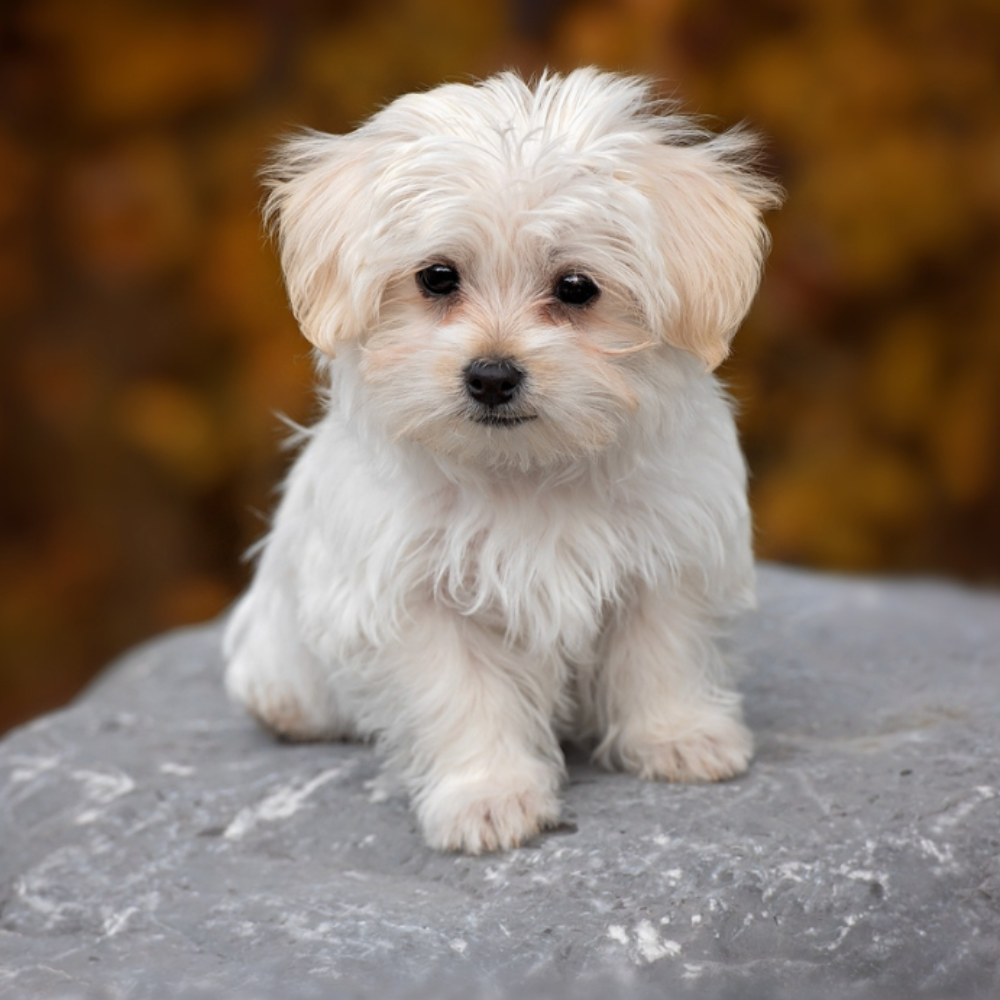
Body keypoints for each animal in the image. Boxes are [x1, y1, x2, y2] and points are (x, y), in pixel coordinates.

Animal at [225, 68, 780, 852]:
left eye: (576, 288)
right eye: (436, 277)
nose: (491, 375)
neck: (525, 471)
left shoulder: (667, 550)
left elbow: (660, 651)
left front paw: (679, 735)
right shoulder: (414, 595)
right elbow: (464, 694)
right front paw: (486, 795)